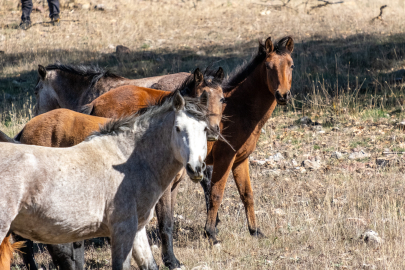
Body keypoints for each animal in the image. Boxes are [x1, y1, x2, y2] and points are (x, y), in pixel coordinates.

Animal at [0, 92, 215, 270]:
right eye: (178, 128)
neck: (128, 161)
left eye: (204, 129)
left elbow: (150, 265)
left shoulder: (137, 230)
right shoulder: (122, 230)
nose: (196, 168)